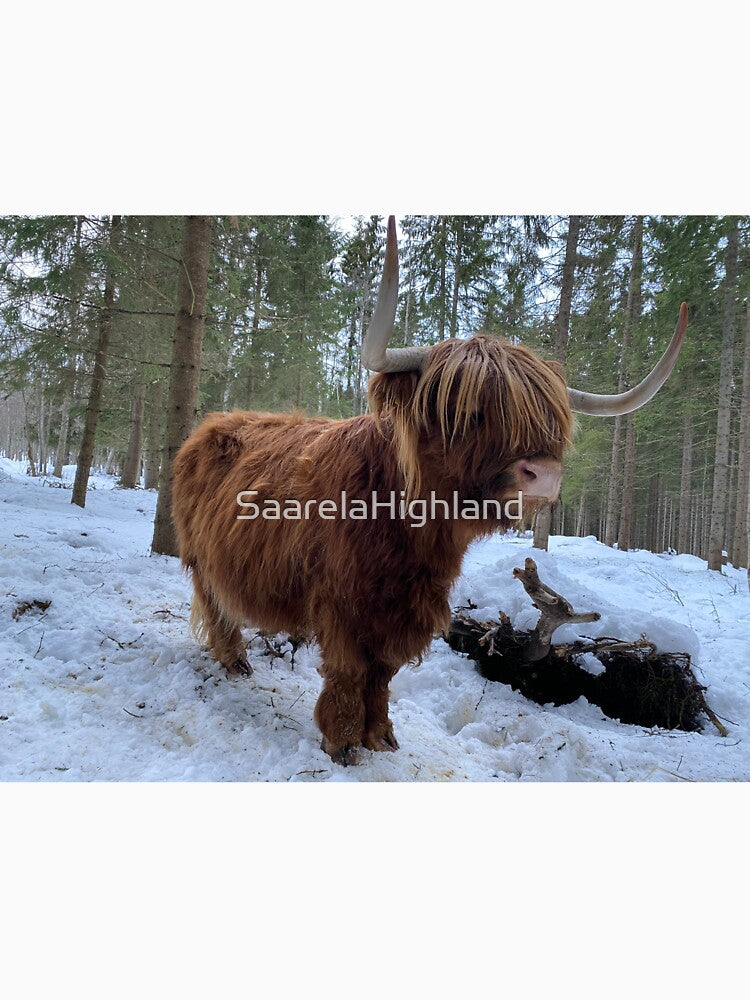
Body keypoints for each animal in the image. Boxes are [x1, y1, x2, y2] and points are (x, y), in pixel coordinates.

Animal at [172, 217, 687, 765]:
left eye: (552, 419)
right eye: (468, 411)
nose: (544, 474)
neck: (410, 526)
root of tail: (213, 423)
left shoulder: (410, 605)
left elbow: (382, 673)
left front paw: (381, 736)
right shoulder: (341, 600)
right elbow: (351, 669)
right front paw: (342, 741)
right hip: (200, 555)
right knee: (214, 603)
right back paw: (234, 662)